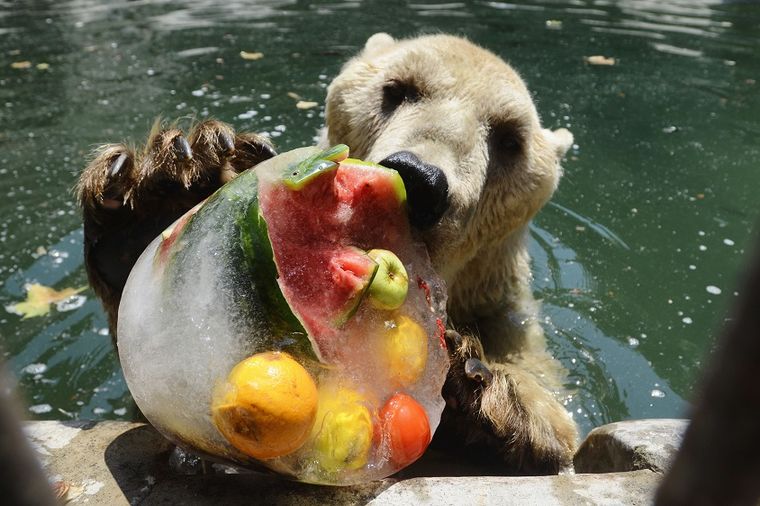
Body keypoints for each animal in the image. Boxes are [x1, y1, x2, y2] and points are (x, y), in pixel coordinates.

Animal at [75, 31, 576, 474]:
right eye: (396, 89)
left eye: (510, 140)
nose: (419, 178)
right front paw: (167, 190)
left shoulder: (506, 316)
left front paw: (487, 388)